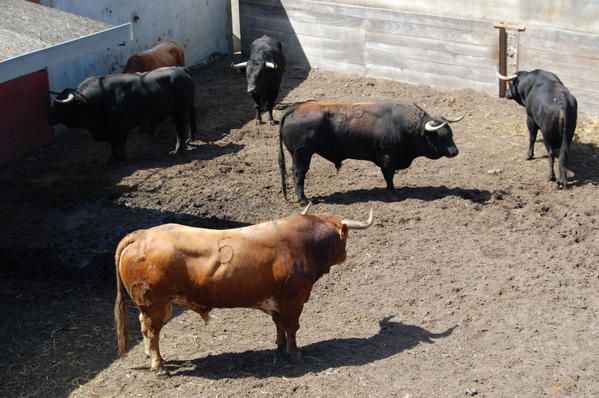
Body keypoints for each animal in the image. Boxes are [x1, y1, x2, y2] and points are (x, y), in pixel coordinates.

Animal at [47, 67, 197, 162]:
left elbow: (121, 143)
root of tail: (181, 71)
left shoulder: (122, 127)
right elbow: (113, 144)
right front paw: (113, 159)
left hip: (180, 110)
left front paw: (123, 158)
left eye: (60, 106)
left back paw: (178, 150)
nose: (49, 118)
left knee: (180, 130)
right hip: (178, 111)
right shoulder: (109, 131)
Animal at [114, 204, 372, 374]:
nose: (345, 255)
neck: (302, 244)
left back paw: (149, 356)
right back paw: (158, 365)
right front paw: (294, 354)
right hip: (155, 304)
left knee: (144, 327)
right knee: (151, 331)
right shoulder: (293, 300)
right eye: (345, 237)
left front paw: (279, 347)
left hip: (155, 306)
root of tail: (141, 235)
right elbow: (292, 328)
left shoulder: (276, 301)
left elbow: (279, 324)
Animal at [278, 101, 466, 201]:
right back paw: (303, 199)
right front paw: (393, 193)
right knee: (299, 173)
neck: (404, 125)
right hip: (302, 153)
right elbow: (389, 176)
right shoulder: (388, 158)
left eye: (451, 133)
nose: (455, 151)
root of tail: (295, 108)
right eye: (440, 136)